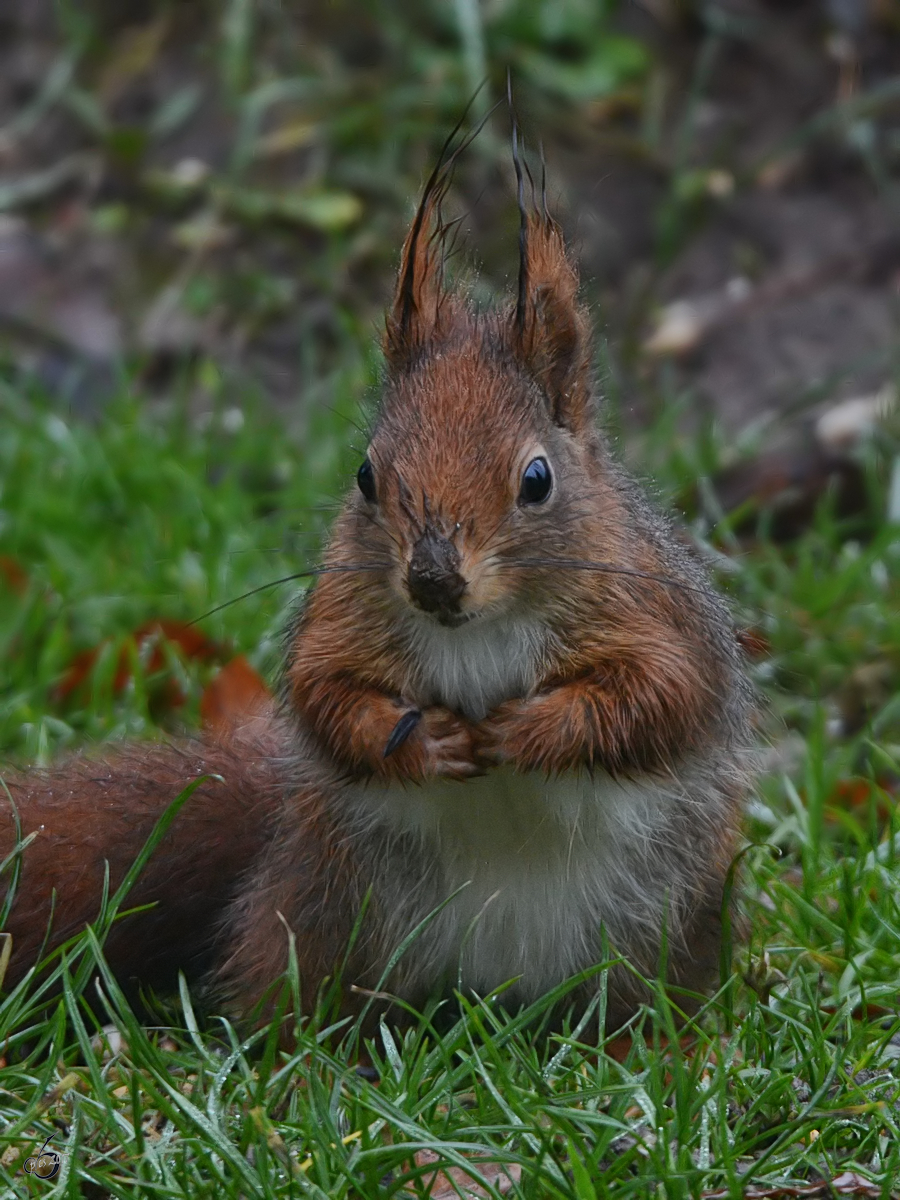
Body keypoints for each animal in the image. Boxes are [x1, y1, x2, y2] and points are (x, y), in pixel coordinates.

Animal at [0, 129, 758, 1032]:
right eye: (365, 476)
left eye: (538, 479)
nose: (432, 579)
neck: (478, 630)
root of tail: (497, 994)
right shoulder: (341, 616)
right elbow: (326, 695)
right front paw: (420, 740)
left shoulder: (656, 611)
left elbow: (658, 696)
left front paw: (533, 729)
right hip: (320, 913)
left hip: (665, 925)